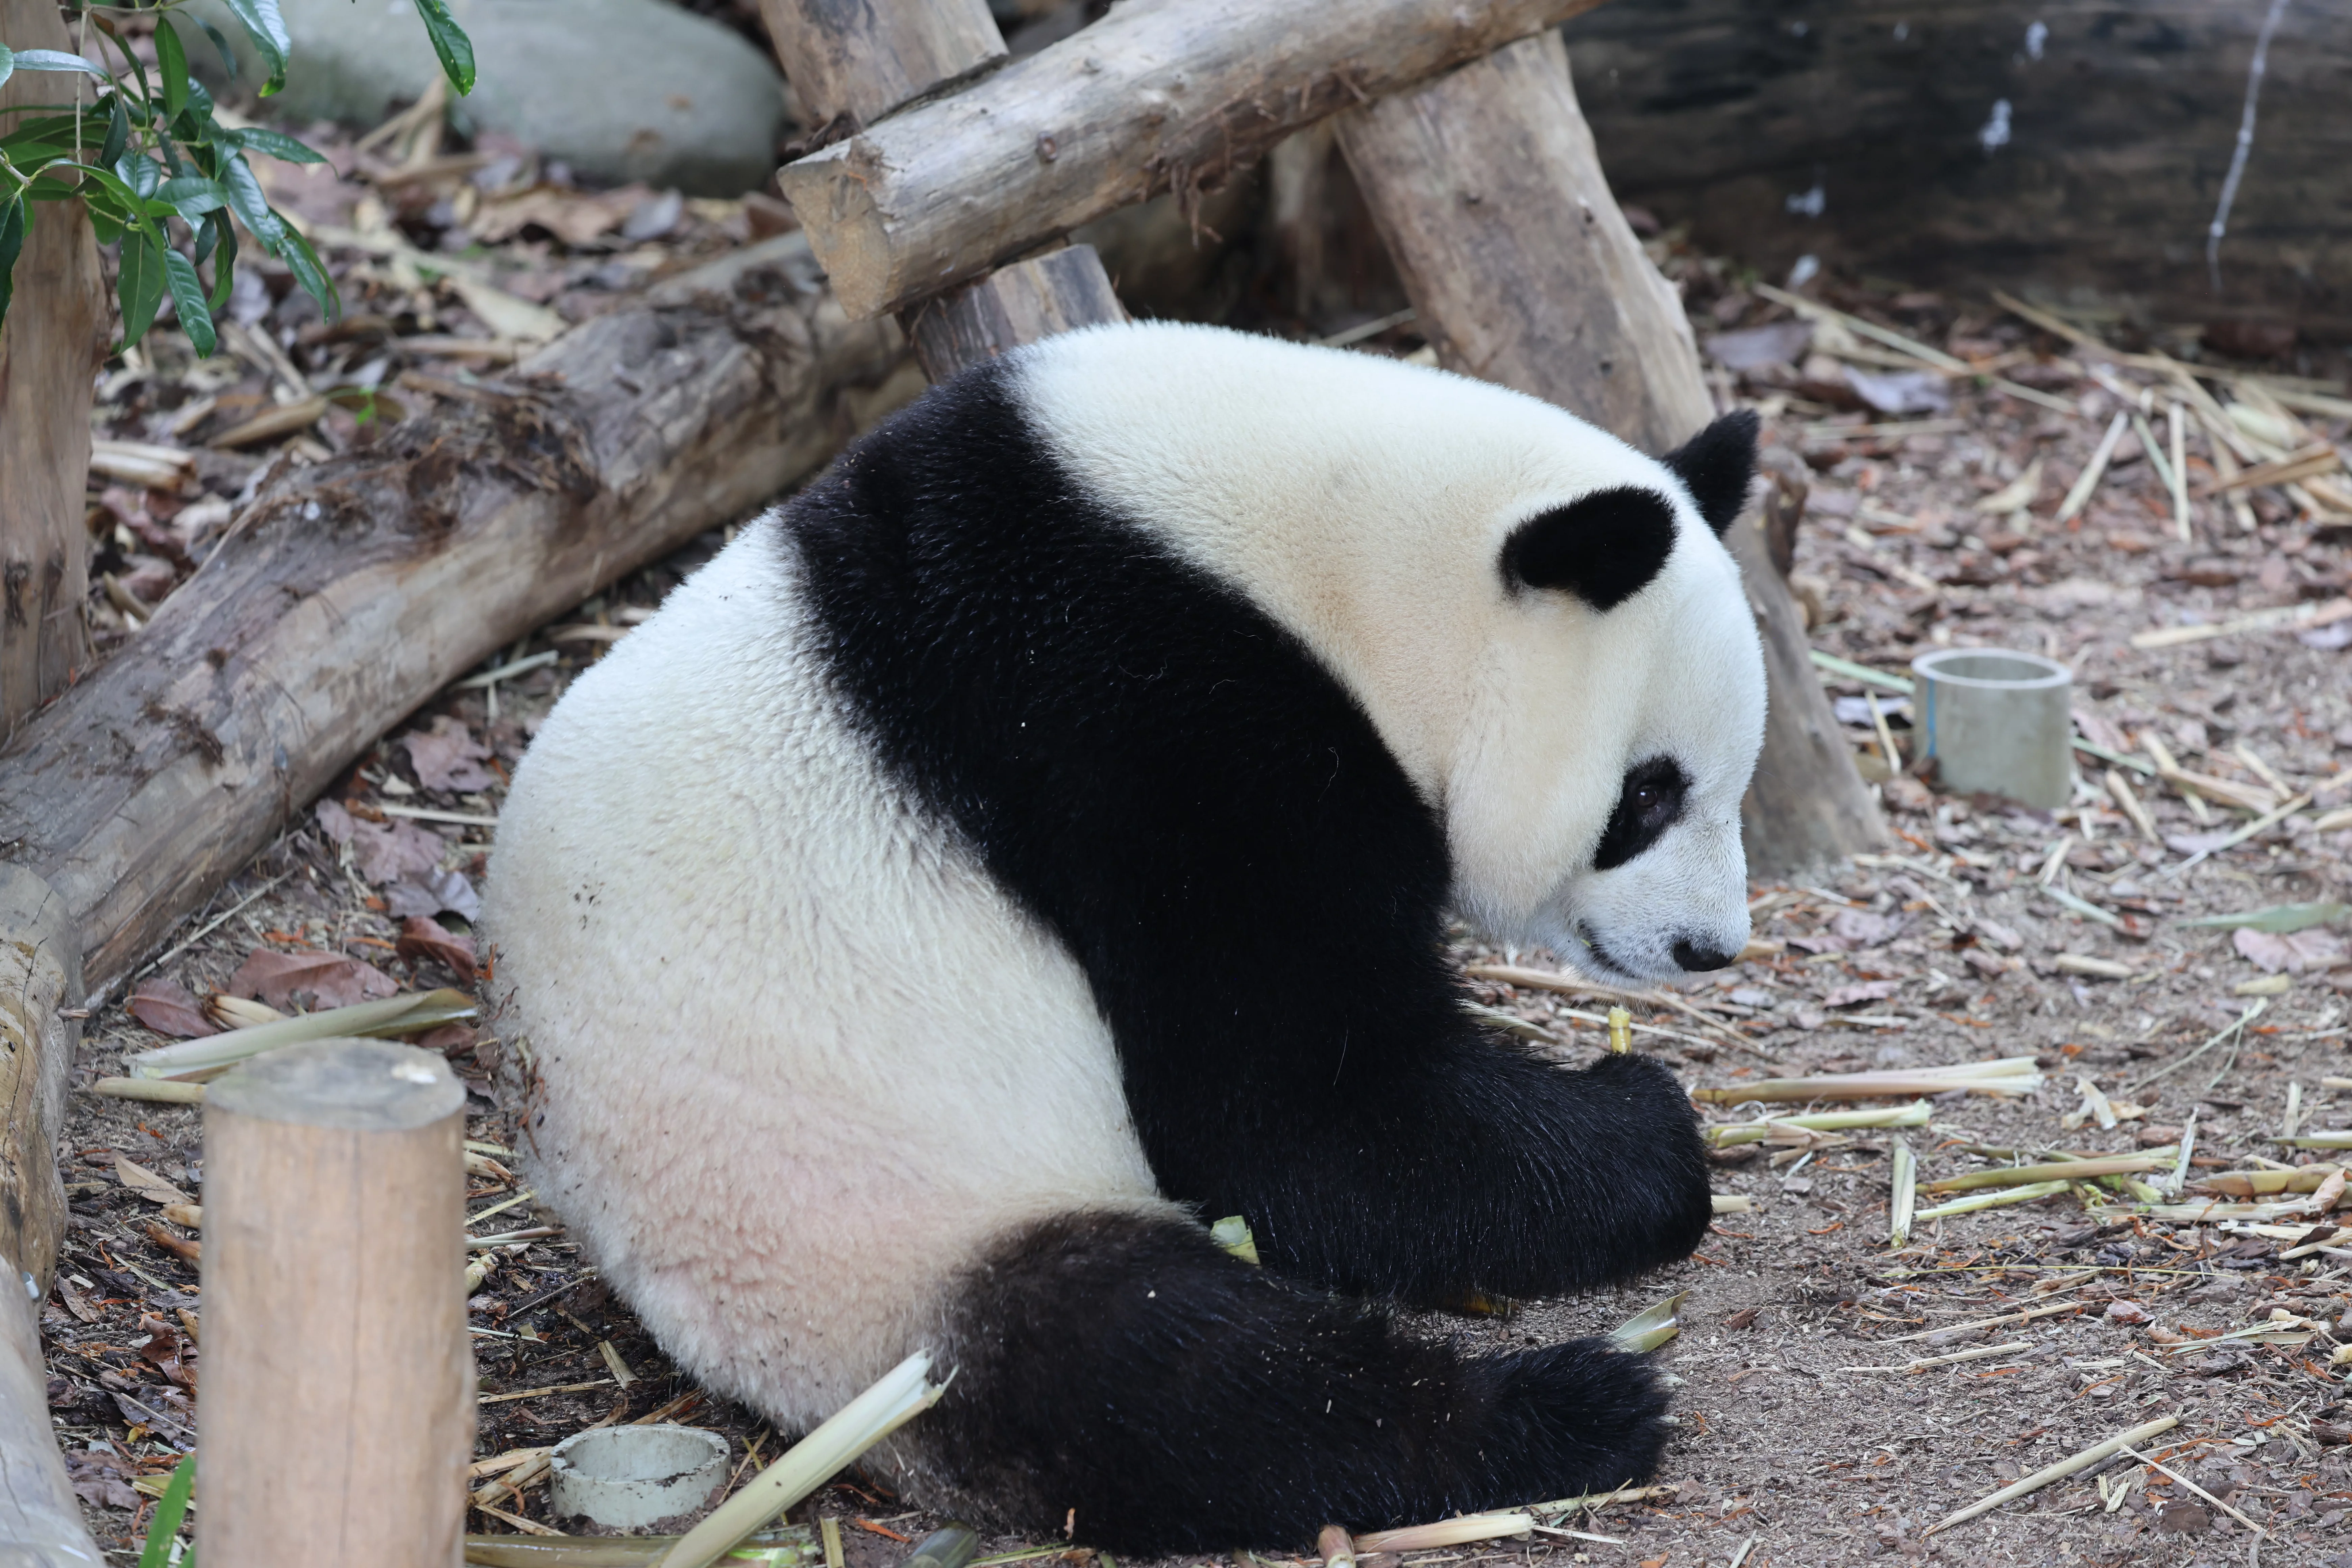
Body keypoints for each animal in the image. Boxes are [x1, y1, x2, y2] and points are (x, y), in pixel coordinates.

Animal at [486, 321, 1767, 1553]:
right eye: (1647, 794)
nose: (1708, 947)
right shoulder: (1147, 727)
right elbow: (1294, 1120)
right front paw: (1645, 1123)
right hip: (863, 1235)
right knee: (1175, 1380)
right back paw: (1562, 1412)